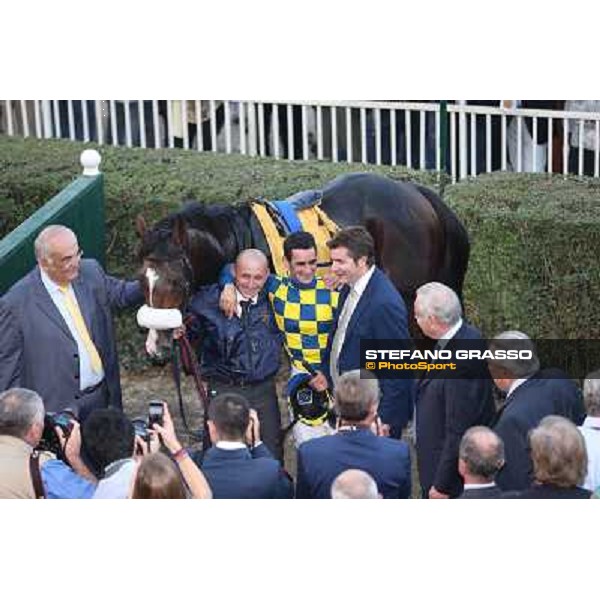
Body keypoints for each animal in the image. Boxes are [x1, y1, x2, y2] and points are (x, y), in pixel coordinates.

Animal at [136, 171, 468, 350]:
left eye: (177, 281)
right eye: (141, 280)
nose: (156, 346)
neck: (239, 240)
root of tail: (417, 192)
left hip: (411, 294)